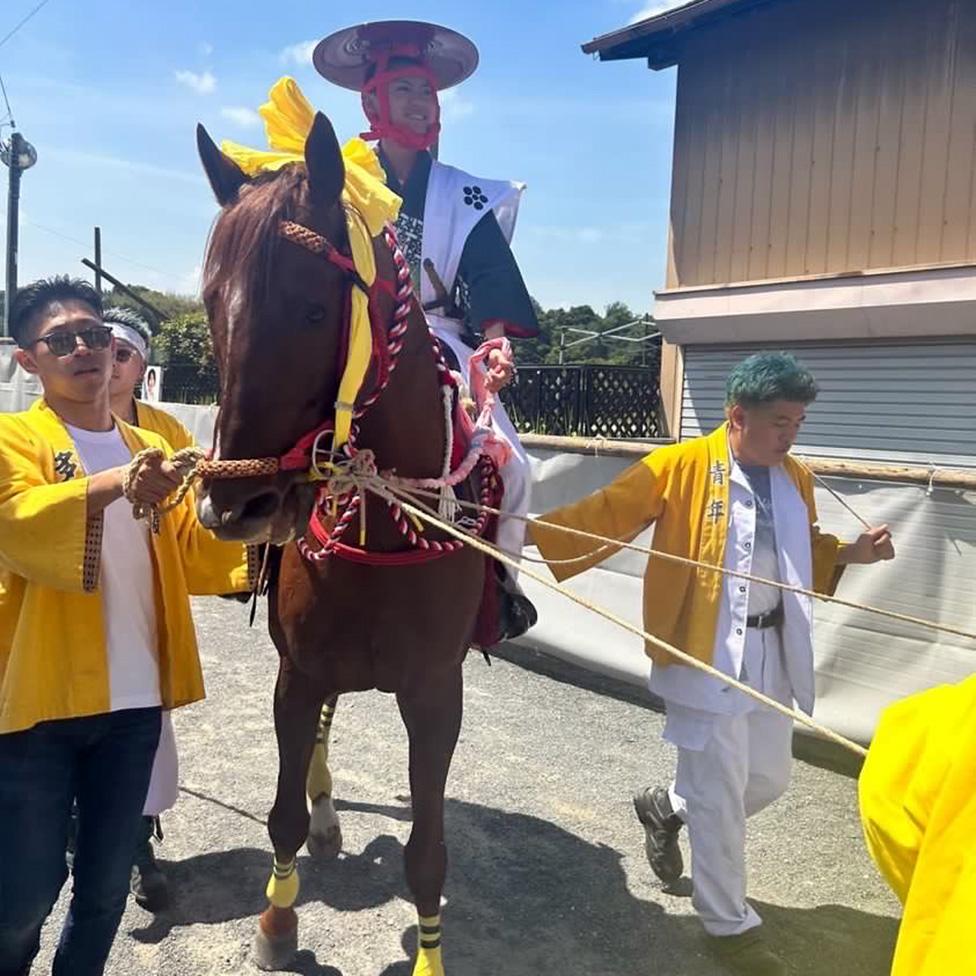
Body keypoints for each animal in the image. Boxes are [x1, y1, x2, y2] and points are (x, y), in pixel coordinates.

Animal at [196, 112, 486, 968]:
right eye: (210, 308)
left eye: (314, 312)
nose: (235, 505)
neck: (381, 533)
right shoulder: (297, 672)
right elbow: (282, 814)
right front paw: (276, 921)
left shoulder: (436, 693)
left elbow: (428, 853)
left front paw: (428, 955)